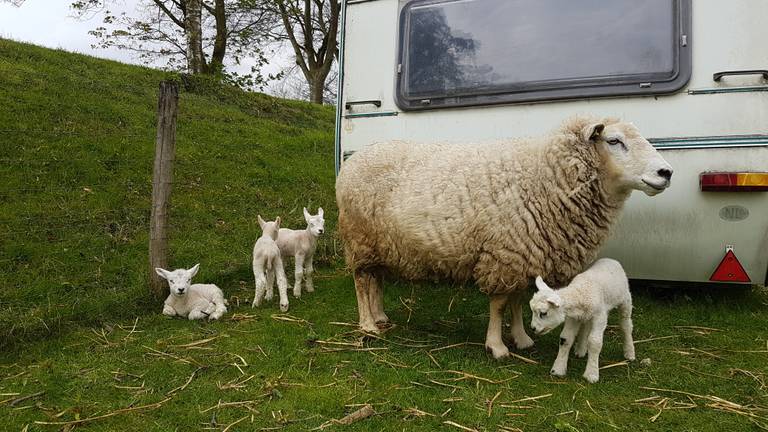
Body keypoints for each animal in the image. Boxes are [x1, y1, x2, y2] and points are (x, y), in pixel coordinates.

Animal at [336, 114, 672, 358]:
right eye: (614, 141)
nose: (666, 173)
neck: (546, 177)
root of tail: (353, 161)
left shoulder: (524, 254)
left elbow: (517, 301)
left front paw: (521, 338)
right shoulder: (504, 254)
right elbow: (499, 305)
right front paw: (497, 346)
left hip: (381, 243)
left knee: (375, 280)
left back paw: (380, 316)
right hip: (360, 237)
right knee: (362, 282)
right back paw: (368, 324)